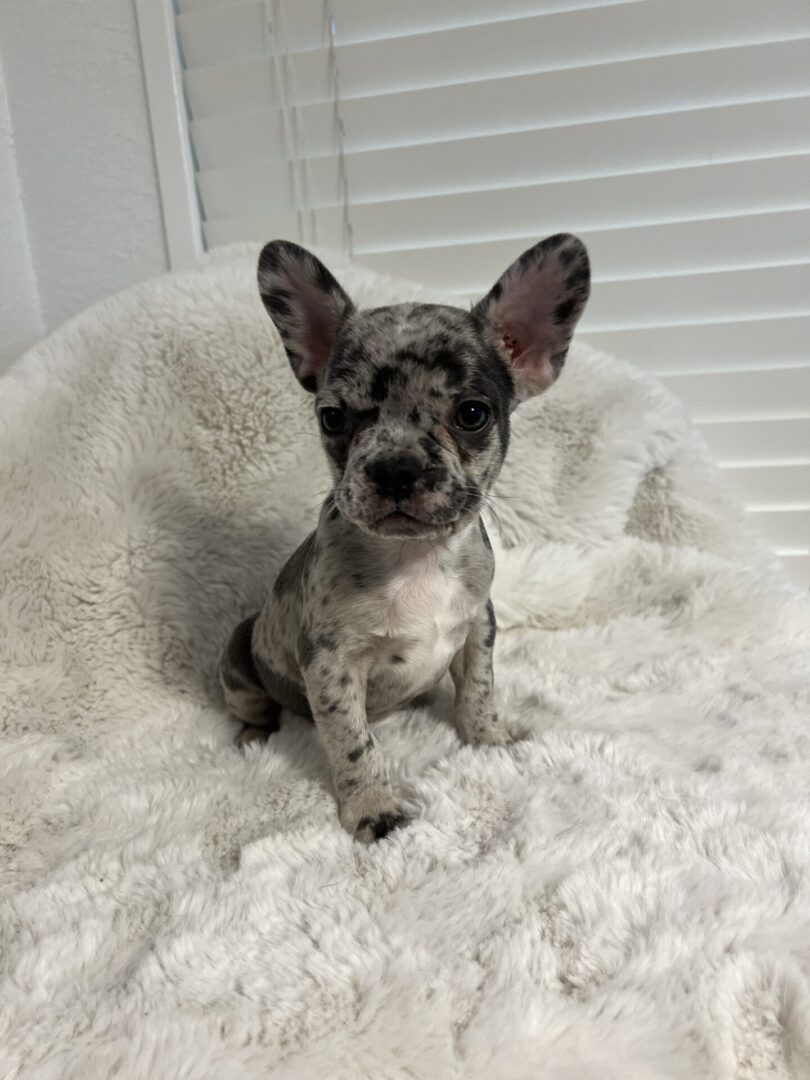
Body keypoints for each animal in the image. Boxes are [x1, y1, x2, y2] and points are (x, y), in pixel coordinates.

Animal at [220, 236, 591, 842]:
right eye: (332, 417)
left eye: (472, 414)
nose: (395, 468)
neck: (416, 557)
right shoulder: (332, 665)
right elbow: (352, 743)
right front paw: (372, 807)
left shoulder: (478, 627)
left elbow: (479, 689)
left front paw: (487, 739)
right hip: (238, 656)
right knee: (254, 706)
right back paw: (253, 738)